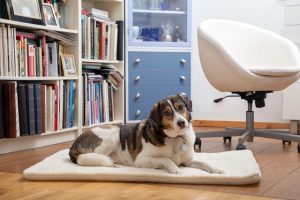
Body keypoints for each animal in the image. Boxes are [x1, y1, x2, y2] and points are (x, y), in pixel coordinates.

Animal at [69, 94, 225, 173]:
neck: (176, 137)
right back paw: (111, 165)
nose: (181, 123)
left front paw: (216, 169)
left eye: (181, 107)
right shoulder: (141, 160)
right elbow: (166, 159)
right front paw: (174, 168)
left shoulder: (187, 161)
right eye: (167, 113)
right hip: (113, 134)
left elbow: (204, 162)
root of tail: (73, 146)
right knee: (97, 159)